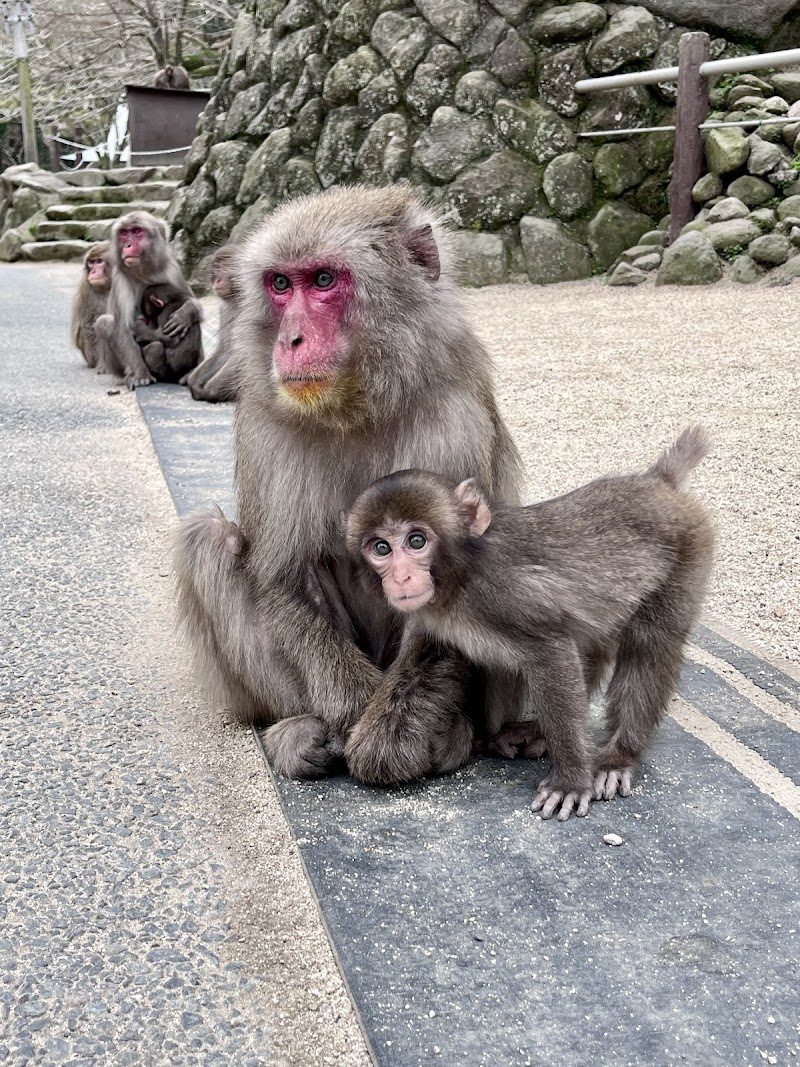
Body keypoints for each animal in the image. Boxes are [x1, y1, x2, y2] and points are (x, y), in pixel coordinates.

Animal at [96, 211, 202, 390]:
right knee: (105, 322)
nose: (128, 245)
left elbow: (191, 301)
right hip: (115, 366)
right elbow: (124, 328)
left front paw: (187, 312)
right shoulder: (120, 280)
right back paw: (131, 374)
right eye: (124, 233)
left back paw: (190, 373)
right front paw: (141, 374)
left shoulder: (173, 270)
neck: (144, 271)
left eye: (137, 231)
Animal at [182, 244, 241, 403]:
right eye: (216, 268)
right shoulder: (224, 308)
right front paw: (193, 383)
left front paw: (210, 391)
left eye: (225, 267)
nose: (217, 280)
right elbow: (224, 350)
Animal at [344, 426, 715, 820]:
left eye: (416, 541)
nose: (401, 578)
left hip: (688, 549)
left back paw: (618, 756)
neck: (460, 577)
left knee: (650, 643)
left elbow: (551, 652)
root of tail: (657, 483)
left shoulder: (504, 596)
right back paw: (539, 730)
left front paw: (570, 781)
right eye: (381, 548)